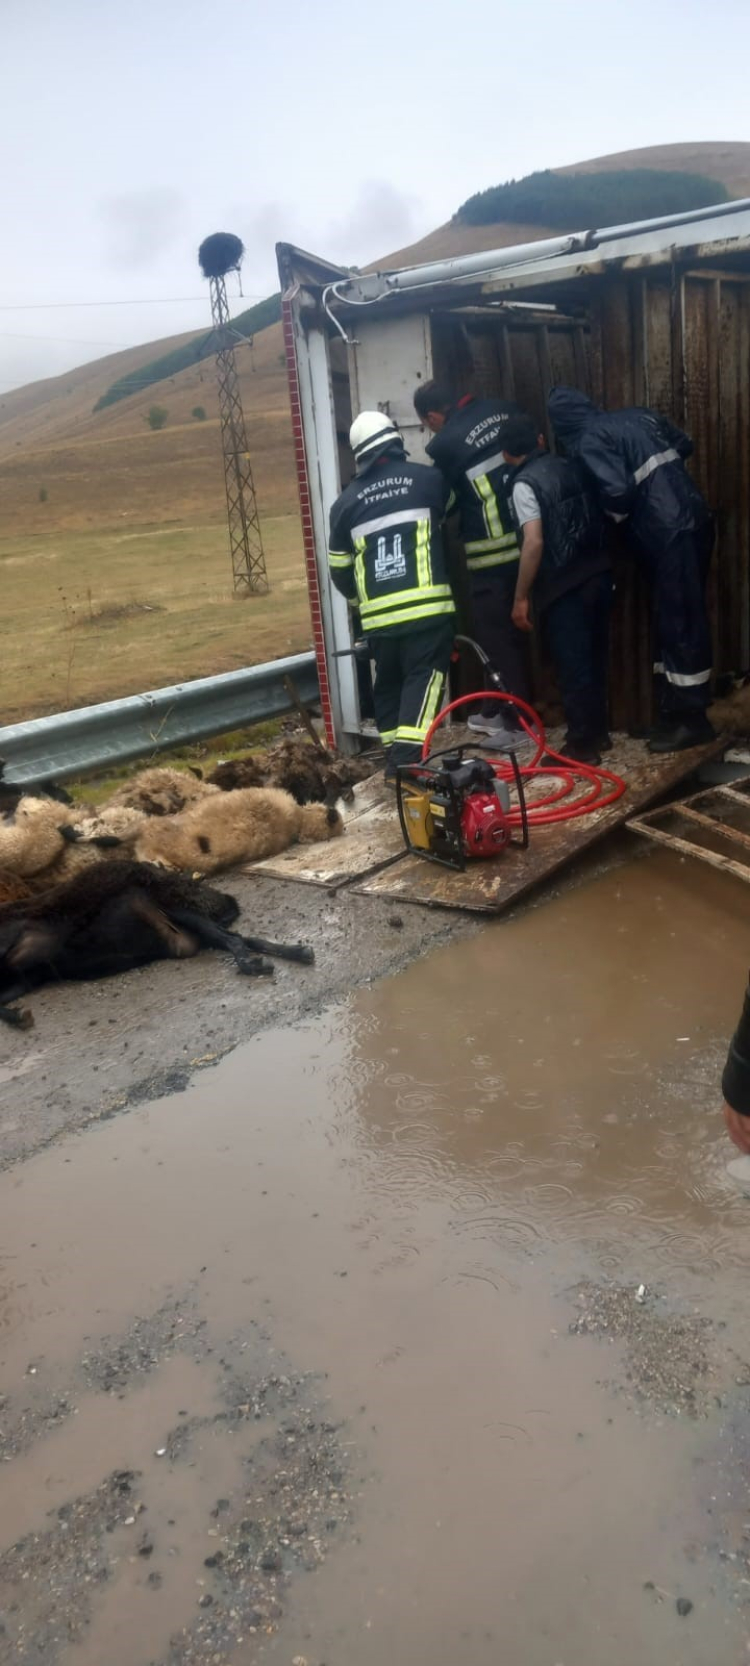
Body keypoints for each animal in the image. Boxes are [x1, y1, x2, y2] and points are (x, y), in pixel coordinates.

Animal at [0, 860, 316, 1030]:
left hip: (170, 906)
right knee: (241, 938)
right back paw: (297, 952)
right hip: (186, 923)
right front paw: (17, 1016)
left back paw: (254, 964)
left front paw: (18, 1016)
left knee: (234, 939)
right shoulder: (26, 977)